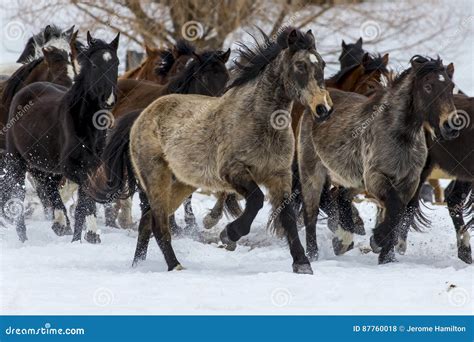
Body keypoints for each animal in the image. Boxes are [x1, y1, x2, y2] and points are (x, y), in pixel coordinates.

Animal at [3, 32, 120, 243]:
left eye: (116, 63)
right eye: (94, 64)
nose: (108, 100)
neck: (86, 124)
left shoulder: (91, 166)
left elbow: (82, 203)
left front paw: (83, 236)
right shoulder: (71, 168)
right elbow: (85, 199)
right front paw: (90, 233)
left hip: (44, 164)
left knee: (48, 186)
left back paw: (60, 224)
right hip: (17, 161)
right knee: (19, 194)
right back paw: (25, 237)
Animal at [114, 28, 332, 274]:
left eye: (322, 64)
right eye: (300, 65)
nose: (323, 108)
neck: (258, 120)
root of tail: (142, 115)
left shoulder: (279, 176)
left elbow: (287, 217)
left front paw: (302, 264)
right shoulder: (232, 172)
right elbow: (256, 199)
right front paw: (229, 234)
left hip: (181, 184)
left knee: (147, 222)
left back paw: (138, 265)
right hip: (156, 179)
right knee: (159, 225)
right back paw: (175, 266)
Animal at [300, 56, 460, 264]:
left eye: (450, 87)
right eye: (428, 86)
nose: (450, 126)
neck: (400, 136)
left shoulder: (409, 182)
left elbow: (398, 212)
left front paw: (386, 256)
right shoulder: (376, 177)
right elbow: (395, 207)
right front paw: (378, 240)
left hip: (354, 179)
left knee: (341, 197)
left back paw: (343, 240)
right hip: (313, 173)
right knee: (310, 213)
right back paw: (313, 256)